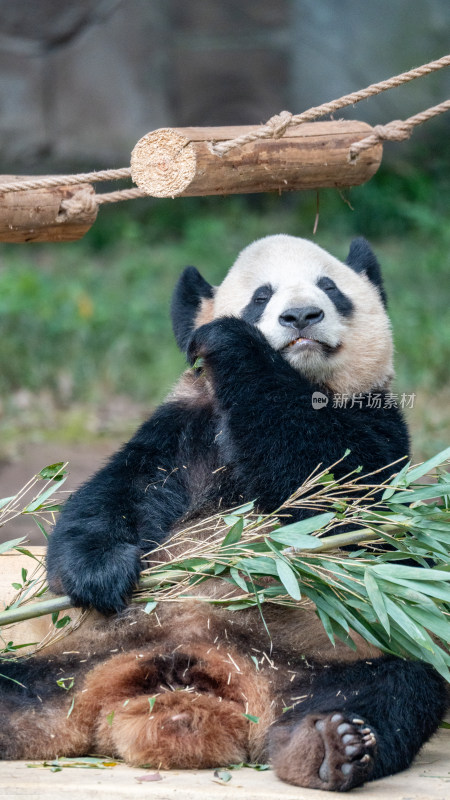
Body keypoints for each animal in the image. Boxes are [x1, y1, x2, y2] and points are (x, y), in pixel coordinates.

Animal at [0, 234, 446, 792]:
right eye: (262, 296)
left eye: (329, 287)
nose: (302, 315)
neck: (300, 380)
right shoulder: (186, 424)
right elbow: (119, 492)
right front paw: (98, 574)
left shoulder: (378, 423)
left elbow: (343, 493)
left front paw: (231, 341)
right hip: (64, 664)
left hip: (327, 654)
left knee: (397, 683)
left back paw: (327, 746)